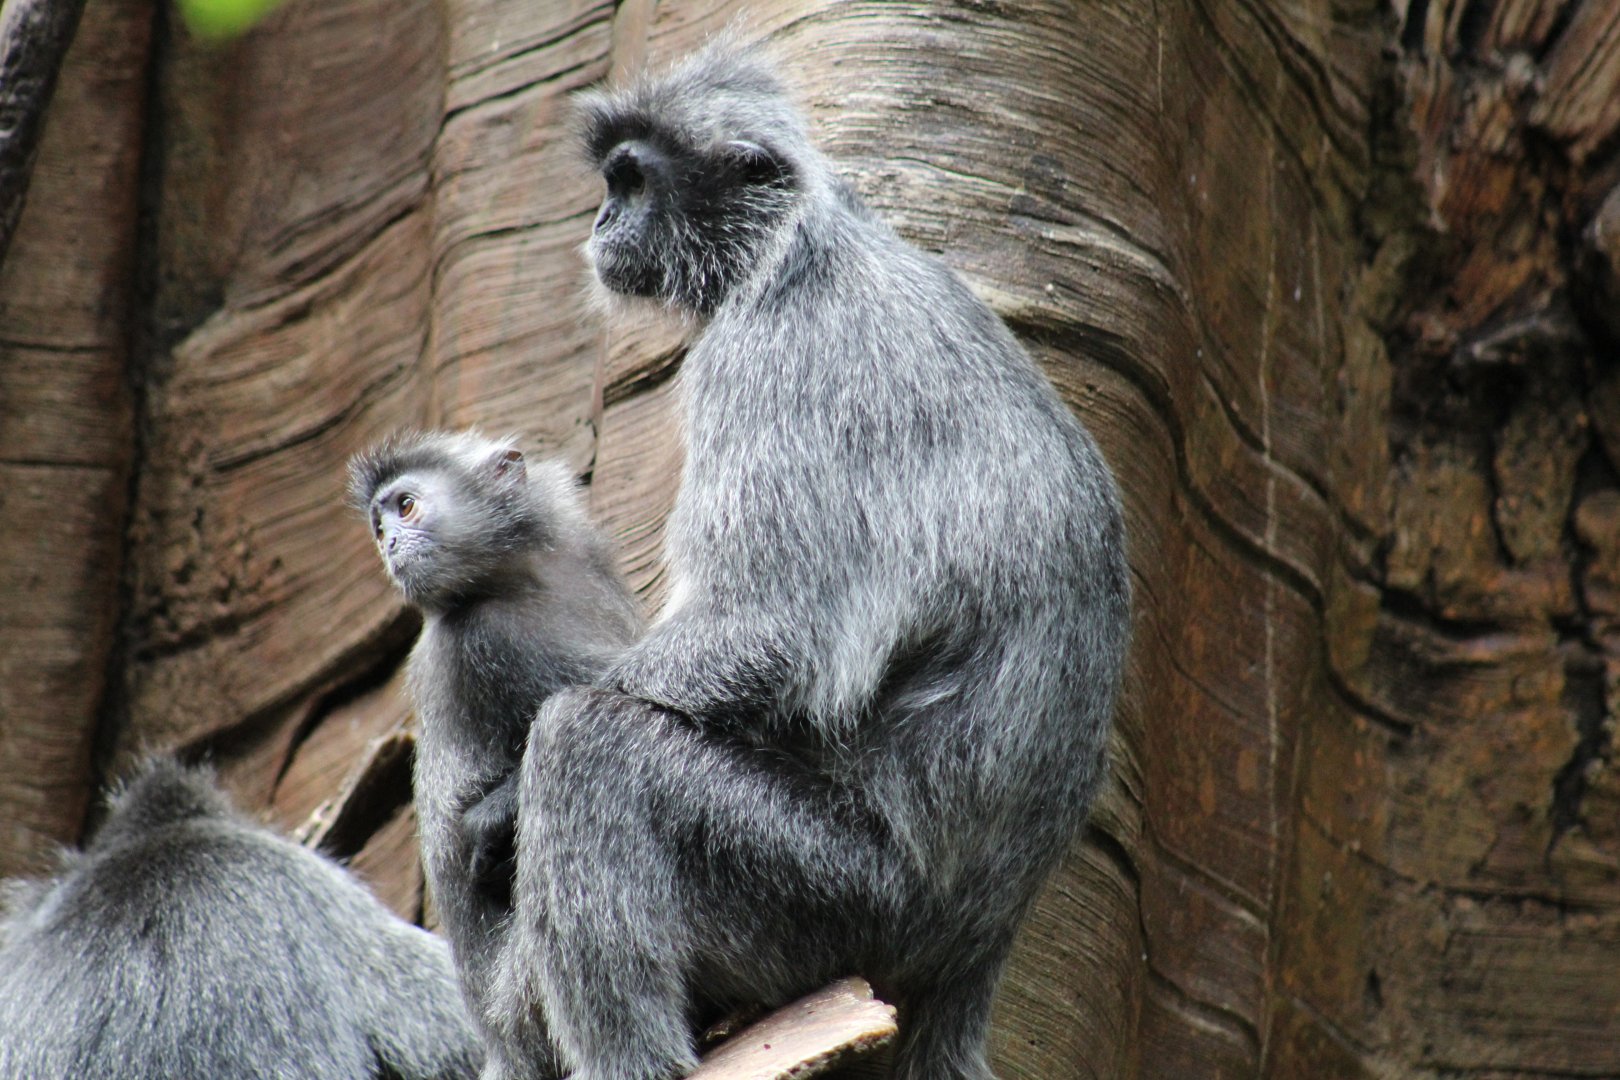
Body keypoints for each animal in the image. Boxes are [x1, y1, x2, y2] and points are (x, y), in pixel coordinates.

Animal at [348, 430, 644, 1080]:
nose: (390, 545)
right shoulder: (486, 639)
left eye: (405, 507)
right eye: (381, 529)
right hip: (530, 1003)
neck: (514, 578)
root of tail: (502, 1041)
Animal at [492, 38, 1131, 1080]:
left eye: (631, 180)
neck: (801, 247)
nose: (599, 220)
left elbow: (768, 633)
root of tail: (974, 950)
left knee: (591, 743)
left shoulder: (765, 357)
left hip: (831, 898)